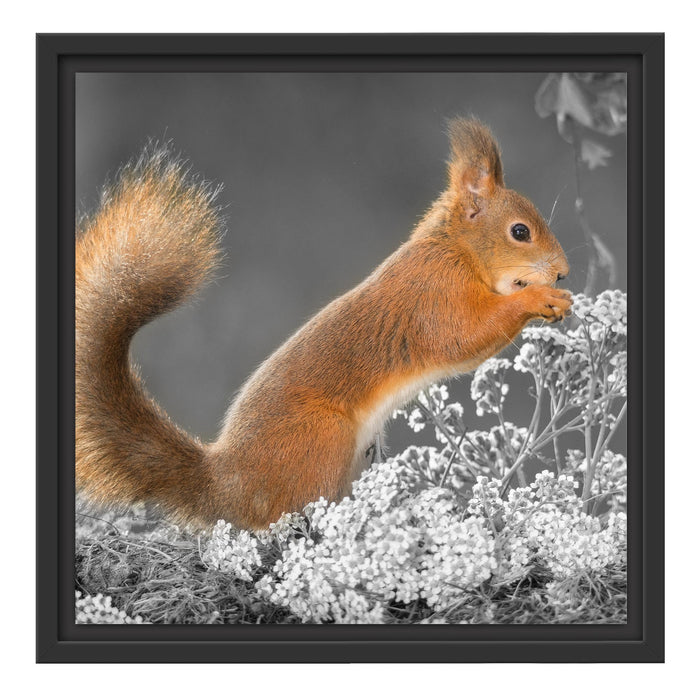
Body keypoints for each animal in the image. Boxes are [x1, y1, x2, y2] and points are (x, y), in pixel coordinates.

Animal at [76, 118, 571, 530]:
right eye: (520, 232)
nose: (563, 273)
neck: (455, 250)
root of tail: (226, 484)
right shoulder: (434, 296)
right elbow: (464, 337)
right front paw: (538, 299)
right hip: (321, 439)